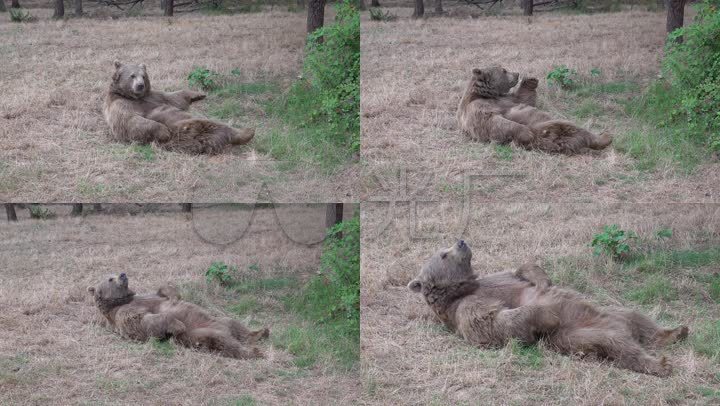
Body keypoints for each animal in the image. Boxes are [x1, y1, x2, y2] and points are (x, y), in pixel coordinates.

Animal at [88, 272, 268, 358]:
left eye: (114, 273)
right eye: (110, 279)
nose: (123, 274)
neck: (122, 300)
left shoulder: (148, 297)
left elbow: (167, 291)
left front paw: (171, 292)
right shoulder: (123, 313)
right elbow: (144, 321)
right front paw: (178, 324)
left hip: (219, 320)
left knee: (235, 324)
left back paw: (261, 332)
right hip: (202, 334)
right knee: (226, 344)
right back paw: (255, 352)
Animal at [103, 61, 256, 155]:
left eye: (144, 76)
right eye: (132, 76)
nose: (140, 85)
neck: (136, 97)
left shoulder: (155, 97)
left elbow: (174, 98)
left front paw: (198, 94)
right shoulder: (121, 104)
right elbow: (130, 121)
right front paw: (164, 131)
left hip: (201, 123)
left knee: (223, 126)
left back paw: (248, 132)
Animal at [408, 239, 688, 376]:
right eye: (443, 254)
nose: (461, 241)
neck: (462, 288)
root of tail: (621, 328)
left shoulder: (496, 279)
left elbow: (523, 270)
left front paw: (542, 280)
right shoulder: (466, 307)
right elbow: (494, 322)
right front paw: (549, 313)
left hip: (614, 312)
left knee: (639, 318)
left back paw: (675, 332)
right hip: (582, 335)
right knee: (621, 348)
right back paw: (661, 364)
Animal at [458, 66, 612, 155]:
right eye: (504, 70)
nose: (517, 73)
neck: (487, 95)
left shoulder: (509, 99)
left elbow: (525, 99)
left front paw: (530, 79)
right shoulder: (477, 107)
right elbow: (492, 121)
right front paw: (526, 132)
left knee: (582, 132)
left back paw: (605, 137)